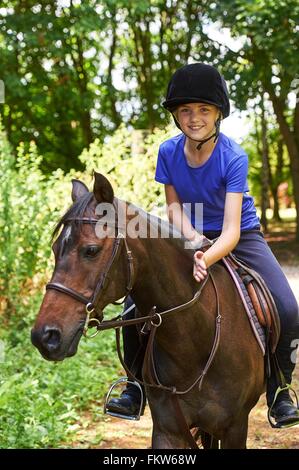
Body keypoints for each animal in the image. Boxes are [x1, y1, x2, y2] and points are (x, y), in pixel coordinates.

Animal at [31, 172, 264, 448]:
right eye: (56, 250)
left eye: (91, 250)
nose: (44, 336)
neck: (196, 339)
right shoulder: (167, 430)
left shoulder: (235, 429)